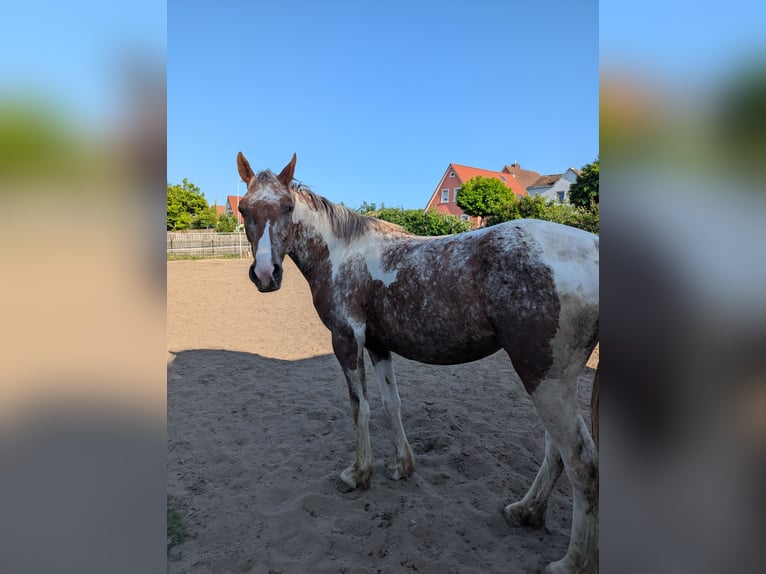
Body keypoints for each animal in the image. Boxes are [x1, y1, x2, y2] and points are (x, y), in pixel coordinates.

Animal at [236, 152, 599, 573]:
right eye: (244, 208)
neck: (342, 253)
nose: (266, 275)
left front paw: (359, 474)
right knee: (555, 452)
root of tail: (592, 247)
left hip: (544, 377)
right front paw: (401, 466)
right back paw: (526, 512)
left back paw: (570, 562)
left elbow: (360, 408)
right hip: (551, 378)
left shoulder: (346, 340)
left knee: (580, 462)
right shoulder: (378, 345)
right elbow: (391, 404)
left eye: (287, 207)